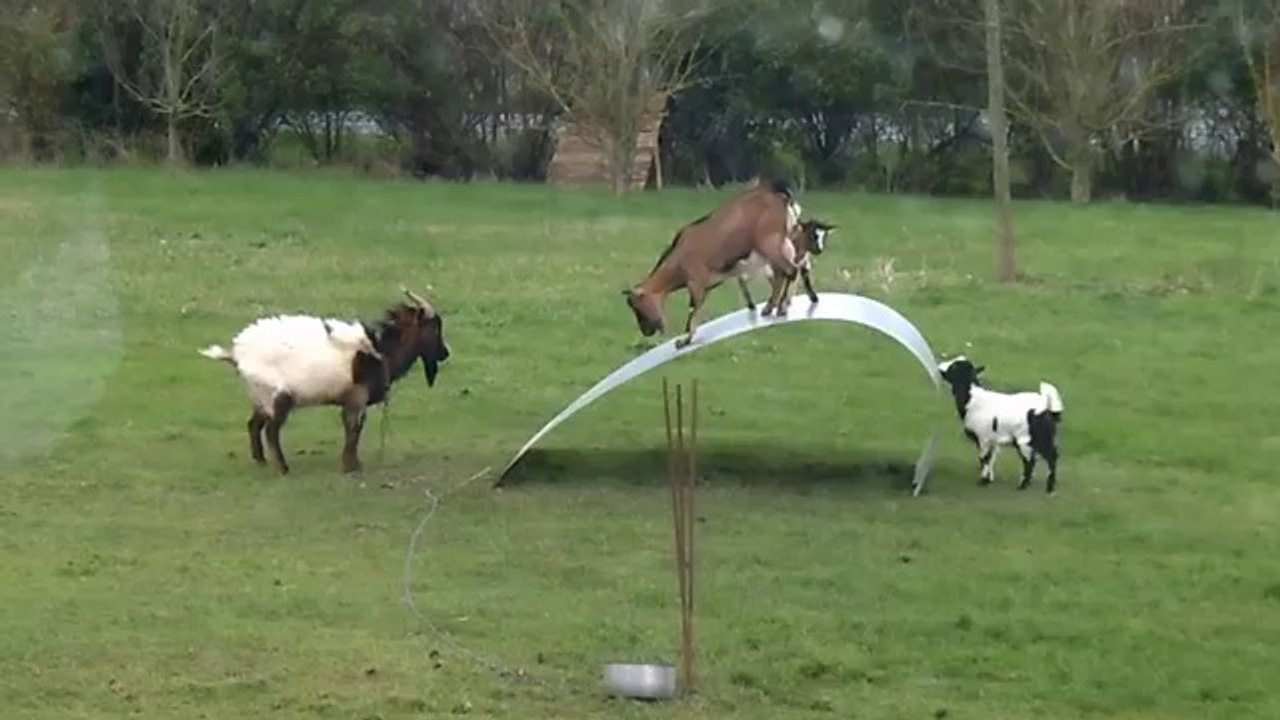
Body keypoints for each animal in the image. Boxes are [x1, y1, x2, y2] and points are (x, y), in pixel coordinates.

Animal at [198, 287, 450, 475]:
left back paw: (261, 461)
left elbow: (355, 430)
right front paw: (351, 467)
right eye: (434, 327)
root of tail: (236, 353)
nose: (445, 354)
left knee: (253, 425)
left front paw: (353, 464)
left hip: (260, 396)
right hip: (278, 396)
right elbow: (353, 430)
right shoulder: (356, 398)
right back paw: (283, 468)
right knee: (271, 430)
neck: (381, 352)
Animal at [623, 178, 802, 348]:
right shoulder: (708, 285)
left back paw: (781, 308)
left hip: (769, 243)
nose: (646, 331)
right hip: (779, 245)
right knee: (783, 273)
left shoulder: (696, 282)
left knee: (790, 270)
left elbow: (692, 310)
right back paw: (769, 307)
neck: (677, 261)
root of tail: (781, 196)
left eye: (638, 306)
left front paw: (685, 340)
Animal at [937, 355, 1065, 493]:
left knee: (1034, 461)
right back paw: (1044, 485)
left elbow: (984, 458)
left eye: (954, 366)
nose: (939, 367)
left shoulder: (983, 438)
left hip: (1027, 440)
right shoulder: (992, 439)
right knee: (1049, 456)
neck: (973, 399)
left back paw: (1027, 486)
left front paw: (983, 481)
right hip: (1041, 439)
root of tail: (1047, 409)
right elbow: (991, 459)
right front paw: (989, 479)